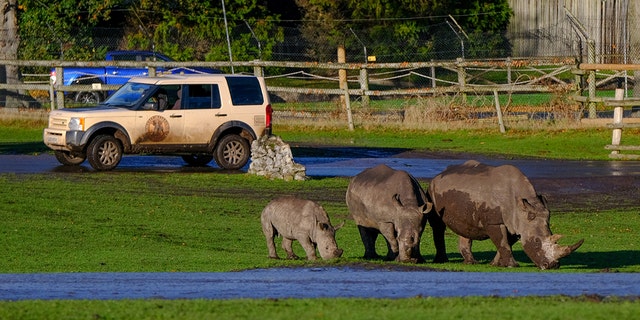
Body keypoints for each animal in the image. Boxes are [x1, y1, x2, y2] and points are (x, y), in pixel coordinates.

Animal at [428, 160, 584, 270]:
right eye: (536, 242)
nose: (552, 266)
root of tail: (439, 175)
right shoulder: (495, 222)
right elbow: (502, 242)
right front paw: (512, 265)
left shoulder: (516, 223)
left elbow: (505, 242)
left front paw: (495, 264)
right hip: (432, 190)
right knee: (438, 226)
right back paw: (442, 261)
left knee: (466, 227)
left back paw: (470, 262)